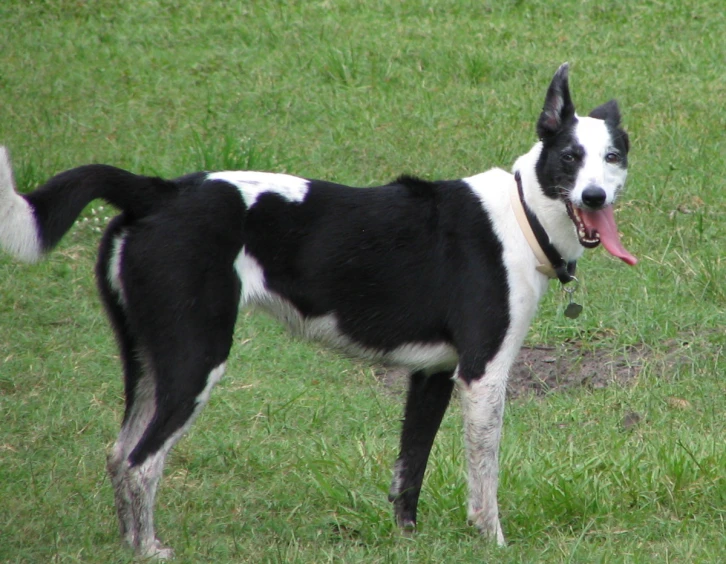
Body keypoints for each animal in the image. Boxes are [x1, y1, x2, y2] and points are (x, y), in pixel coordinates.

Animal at [0, 64, 636, 556]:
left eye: (612, 156)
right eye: (570, 157)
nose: (594, 196)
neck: (522, 213)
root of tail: (159, 190)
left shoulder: (430, 376)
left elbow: (409, 473)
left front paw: (407, 543)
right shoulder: (483, 376)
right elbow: (485, 482)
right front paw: (492, 543)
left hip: (150, 361)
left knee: (118, 456)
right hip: (196, 360)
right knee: (141, 463)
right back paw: (149, 550)